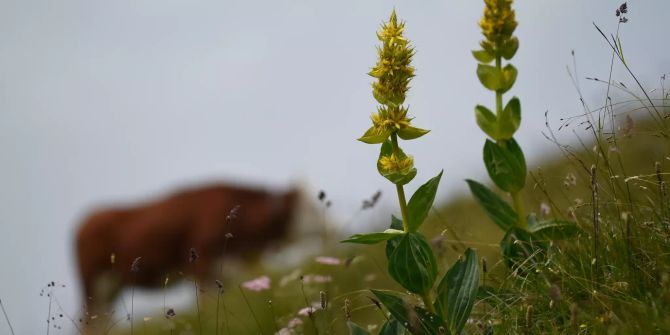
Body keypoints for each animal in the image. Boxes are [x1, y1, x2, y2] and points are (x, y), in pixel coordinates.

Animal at [75, 184, 300, 322]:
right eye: (297, 213)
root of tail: (86, 220)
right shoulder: (203, 261)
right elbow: (206, 301)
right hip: (91, 282)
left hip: (109, 287)